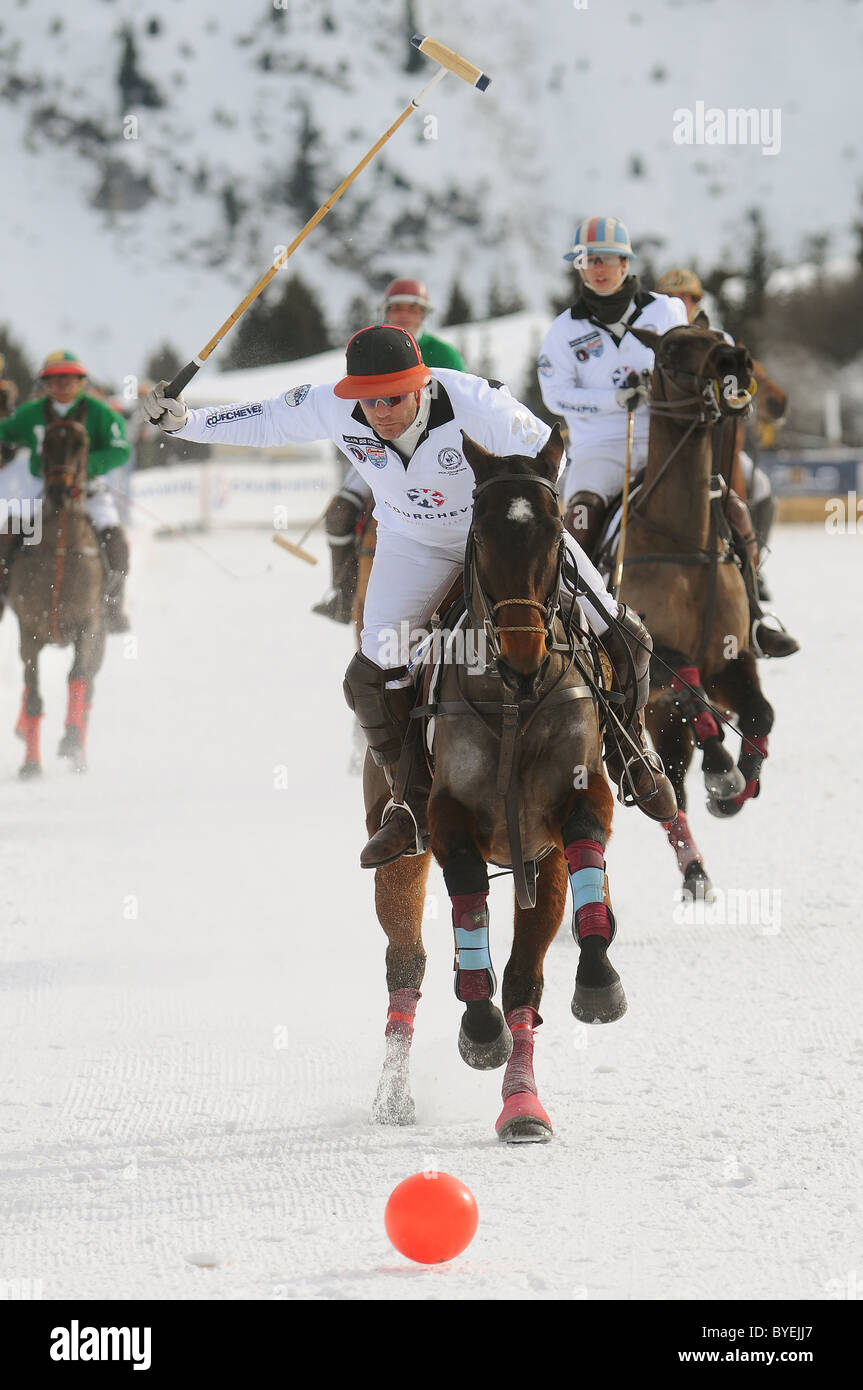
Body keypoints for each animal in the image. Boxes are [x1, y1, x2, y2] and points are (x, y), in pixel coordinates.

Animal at [8, 397, 107, 778]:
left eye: (82, 443)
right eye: (46, 443)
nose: (60, 492)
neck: (62, 548)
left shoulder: (88, 626)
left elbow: (77, 679)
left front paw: (73, 747)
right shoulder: (29, 631)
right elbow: (34, 694)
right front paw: (30, 766)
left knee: (89, 686)